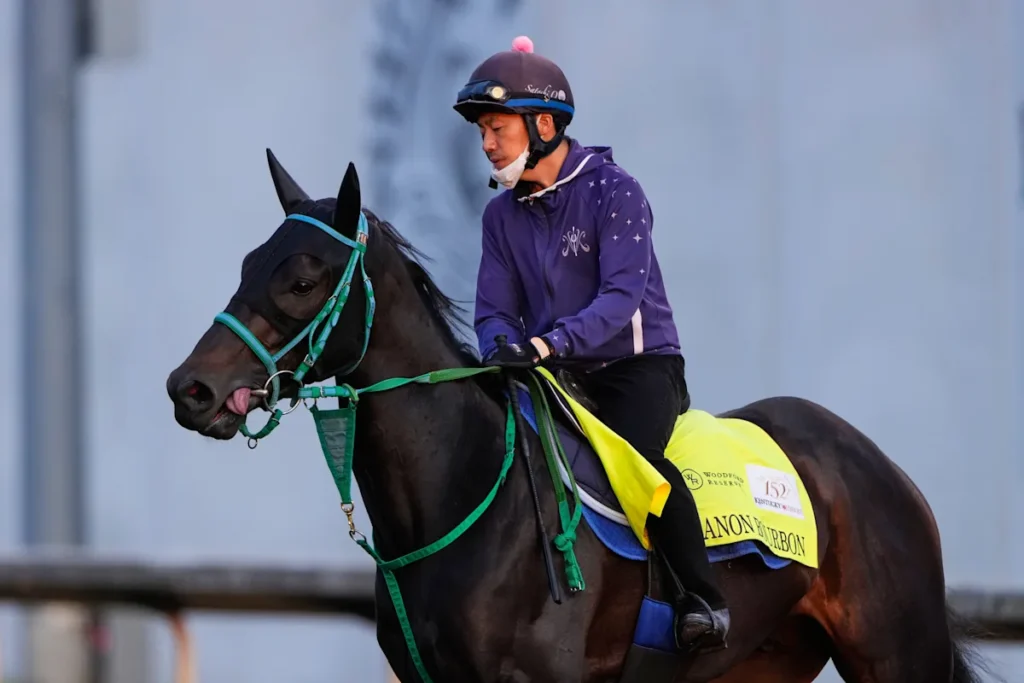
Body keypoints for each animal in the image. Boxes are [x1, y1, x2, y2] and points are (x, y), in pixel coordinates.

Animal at [165, 150, 989, 683]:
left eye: (303, 279)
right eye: (247, 264)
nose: (190, 388)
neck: (462, 494)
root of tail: (879, 464)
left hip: (896, 654)